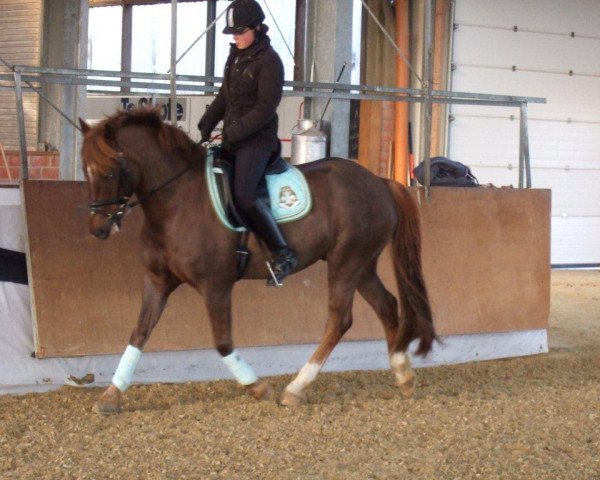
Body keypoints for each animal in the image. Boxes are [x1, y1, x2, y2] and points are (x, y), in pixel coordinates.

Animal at [79, 108, 436, 412]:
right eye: (86, 171)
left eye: (110, 171)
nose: (98, 229)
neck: (175, 202)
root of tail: (380, 182)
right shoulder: (158, 280)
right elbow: (139, 333)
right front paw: (111, 395)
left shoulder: (216, 285)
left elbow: (223, 343)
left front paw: (257, 387)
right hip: (361, 264)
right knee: (387, 305)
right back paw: (403, 375)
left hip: (346, 262)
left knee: (340, 320)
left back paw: (295, 388)